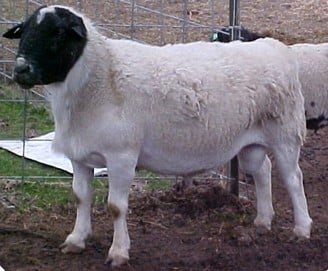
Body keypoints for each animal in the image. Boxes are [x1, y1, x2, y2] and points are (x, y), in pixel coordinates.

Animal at [3, 5, 312, 268]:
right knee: (263, 171)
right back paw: (262, 221)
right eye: (24, 30)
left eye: (57, 33)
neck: (102, 76)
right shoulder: (80, 157)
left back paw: (302, 228)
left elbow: (116, 207)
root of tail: (274, 47)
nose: (20, 70)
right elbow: (81, 197)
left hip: (285, 132)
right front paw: (76, 240)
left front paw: (118, 252)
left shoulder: (122, 156)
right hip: (251, 142)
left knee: (293, 178)